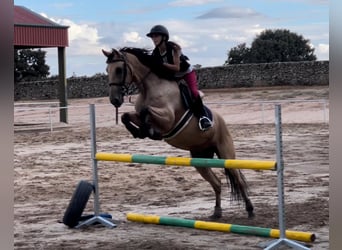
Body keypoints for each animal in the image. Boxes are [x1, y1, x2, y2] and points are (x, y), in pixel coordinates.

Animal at [101, 47, 254, 219]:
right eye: (107, 70)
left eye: (119, 70)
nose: (114, 100)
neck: (149, 87)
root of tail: (222, 122)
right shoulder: (139, 115)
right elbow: (126, 116)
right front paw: (139, 132)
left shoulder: (168, 119)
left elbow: (147, 112)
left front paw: (151, 131)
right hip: (200, 159)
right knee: (217, 183)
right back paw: (217, 212)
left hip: (226, 153)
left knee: (238, 179)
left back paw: (250, 209)